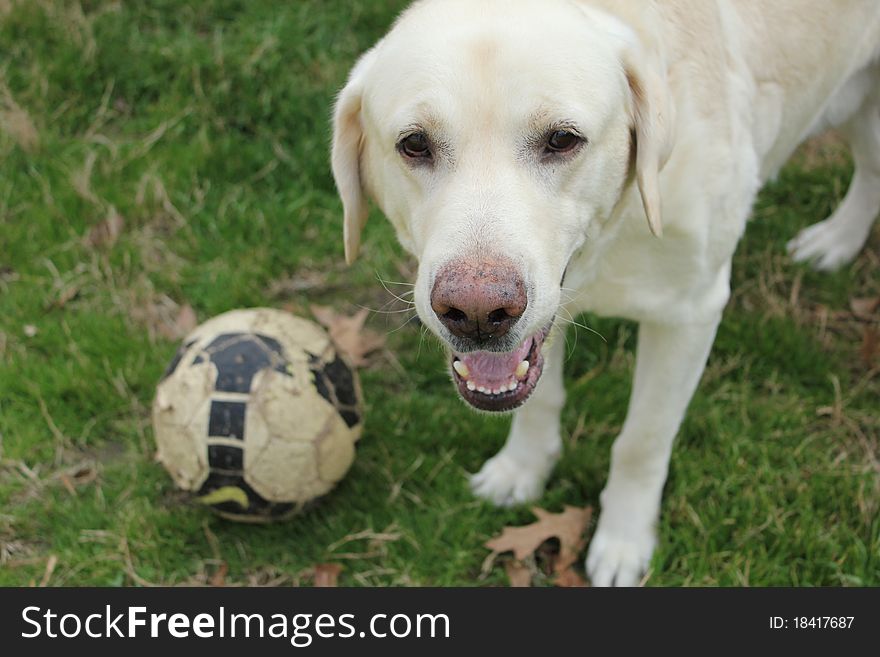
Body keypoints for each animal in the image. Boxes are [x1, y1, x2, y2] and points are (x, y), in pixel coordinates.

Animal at [330, 0, 880, 584]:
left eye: (561, 140)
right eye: (414, 144)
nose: (477, 312)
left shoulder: (691, 311)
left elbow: (642, 440)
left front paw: (623, 541)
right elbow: (538, 399)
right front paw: (522, 469)